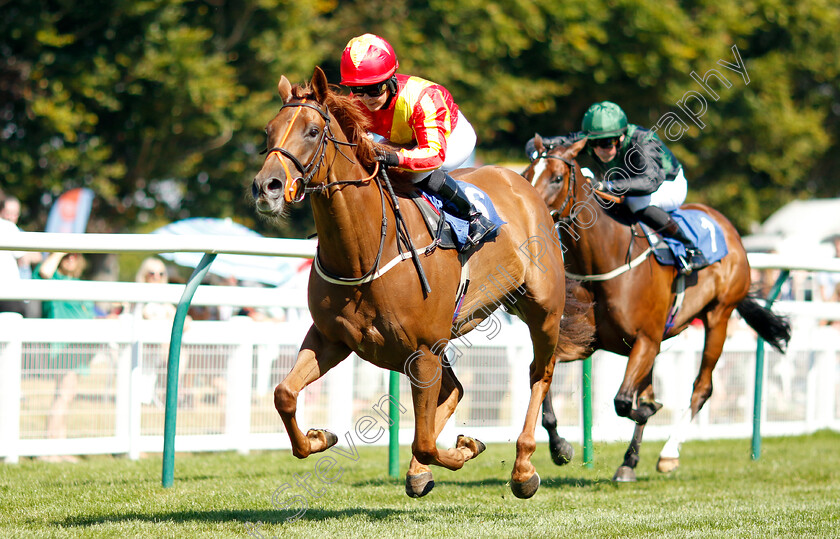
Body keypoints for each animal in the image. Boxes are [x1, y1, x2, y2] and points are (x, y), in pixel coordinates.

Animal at [248, 68, 592, 502]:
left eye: (312, 131)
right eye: (268, 131)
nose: (267, 186)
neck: (363, 251)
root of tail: (521, 181)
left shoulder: (424, 350)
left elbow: (425, 442)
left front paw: (464, 448)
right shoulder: (333, 338)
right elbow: (284, 394)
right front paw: (318, 437)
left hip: (542, 309)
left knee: (538, 375)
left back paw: (525, 467)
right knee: (456, 390)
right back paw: (421, 471)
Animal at [520, 134, 792, 480]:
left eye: (557, 177)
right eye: (527, 173)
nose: (531, 213)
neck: (604, 261)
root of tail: (728, 229)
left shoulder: (645, 340)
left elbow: (625, 401)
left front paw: (648, 412)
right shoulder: (589, 342)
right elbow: (542, 376)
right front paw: (560, 448)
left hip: (718, 316)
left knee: (701, 387)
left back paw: (668, 453)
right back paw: (629, 462)